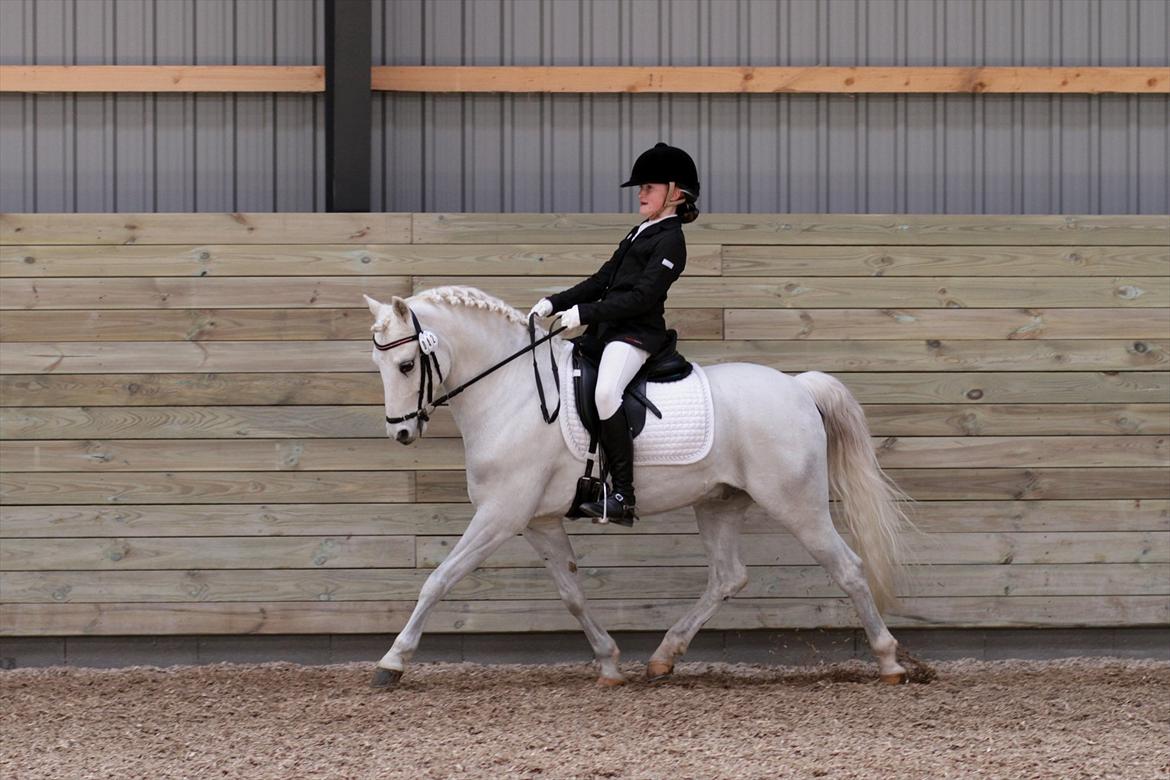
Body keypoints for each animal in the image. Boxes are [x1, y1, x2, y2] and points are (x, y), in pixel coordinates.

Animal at [364, 286, 912, 688]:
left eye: (407, 365)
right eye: (379, 366)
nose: (400, 433)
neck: (514, 393)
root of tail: (798, 386)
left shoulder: (500, 515)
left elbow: (440, 578)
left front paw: (392, 661)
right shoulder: (537, 521)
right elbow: (571, 593)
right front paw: (608, 663)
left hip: (796, 504)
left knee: (848, 568)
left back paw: (890, 662)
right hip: (719, 504)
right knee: (727, 576)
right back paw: (663, 656)